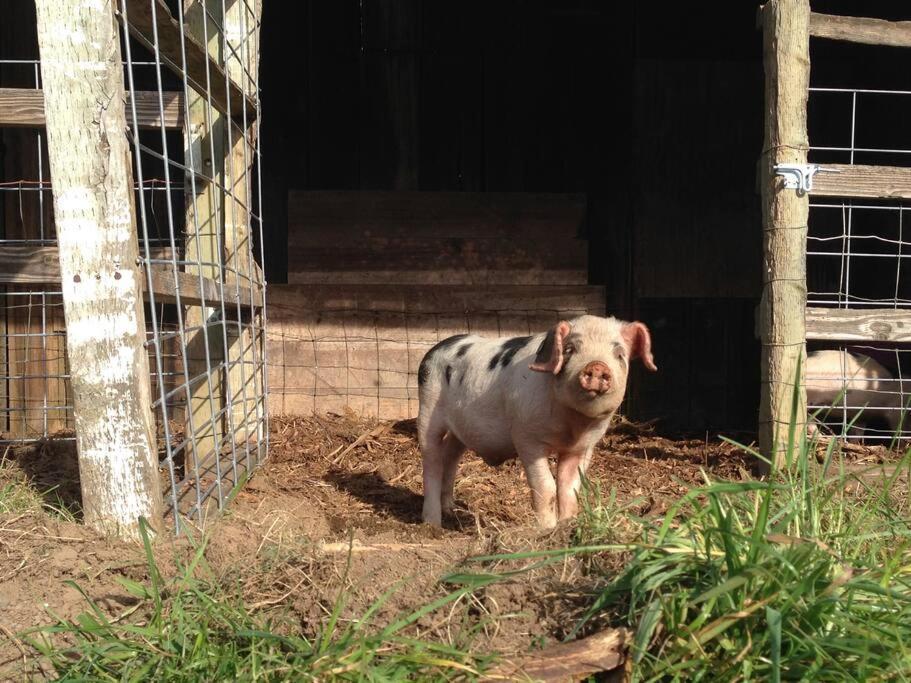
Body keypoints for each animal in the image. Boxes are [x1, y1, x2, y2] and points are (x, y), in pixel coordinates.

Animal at [416, 316, 660, 528]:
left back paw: (450, 510)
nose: (597, 366)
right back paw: (433, 524)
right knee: (431, 461)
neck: (572, 426)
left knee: (450, 455)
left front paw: (566, 527)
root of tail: (436, 348)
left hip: (461, 430)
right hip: (428, 408)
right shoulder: (527, 437)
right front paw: (545, 529)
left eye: (619, 354)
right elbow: (546, 487)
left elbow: (569, 489)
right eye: (570, 349)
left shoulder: (583, 447)